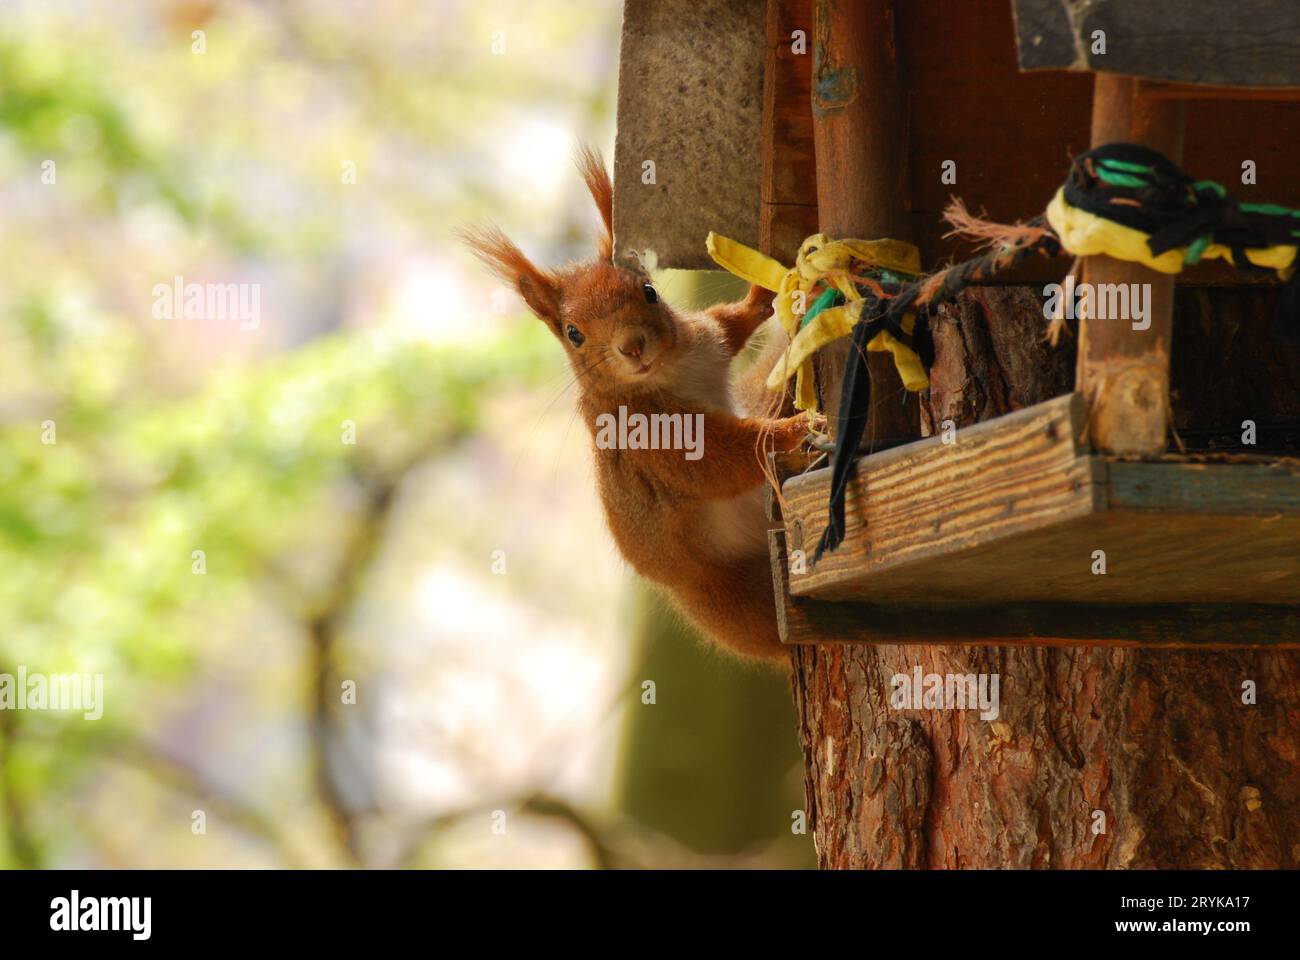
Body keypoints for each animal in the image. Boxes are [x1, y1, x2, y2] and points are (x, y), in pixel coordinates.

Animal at [462, 147, 816, 658]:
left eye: (648, 291)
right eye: (574, 333)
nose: (632, 346)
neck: (670, 371)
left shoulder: (705, 343)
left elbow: (729, 323)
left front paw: (762, 292)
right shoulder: (649, 439)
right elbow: (717, 463)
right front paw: (791, 429)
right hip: (736, 602)